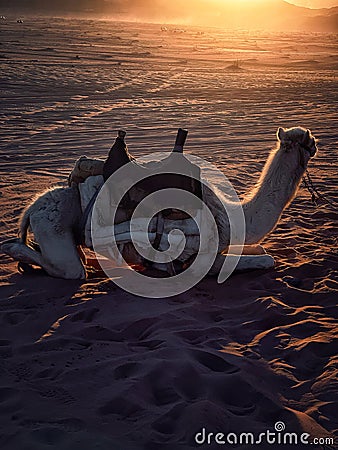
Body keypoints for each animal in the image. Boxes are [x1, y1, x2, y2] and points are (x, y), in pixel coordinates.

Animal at [0, 126, 316, 280]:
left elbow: (259, 249)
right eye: (306, 139)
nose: (318, 144)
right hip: (53, 228)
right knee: (70, 269)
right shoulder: (202, 261)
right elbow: (266, 258)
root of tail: (32, 207)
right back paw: (15, 250)